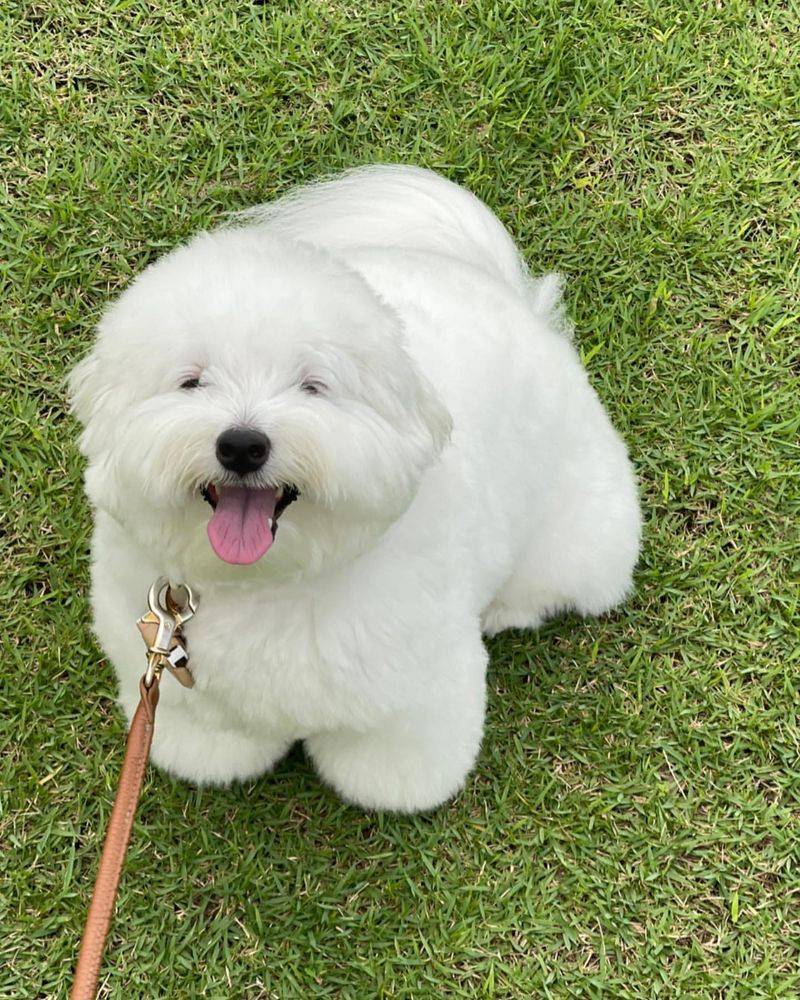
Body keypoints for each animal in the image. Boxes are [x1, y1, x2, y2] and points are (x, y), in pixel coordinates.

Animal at [72, 166, 640, 812]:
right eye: (191, 381)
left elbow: (394, 753)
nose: (241, 445)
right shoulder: (172, 674)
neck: (267, 585)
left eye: (313, 386)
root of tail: (511, 296)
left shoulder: (414, 691)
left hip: (579, 538)